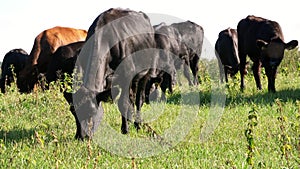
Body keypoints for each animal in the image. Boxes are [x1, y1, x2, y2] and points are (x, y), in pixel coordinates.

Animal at [63, 7, 157, 139]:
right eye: (73, 111)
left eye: (92, 111)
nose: (82, 137)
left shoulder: (127, 75)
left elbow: (123, 104)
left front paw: (125, 130)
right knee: (132, 97)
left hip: (146, 72)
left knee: (139, 99)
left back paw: (138, 125)